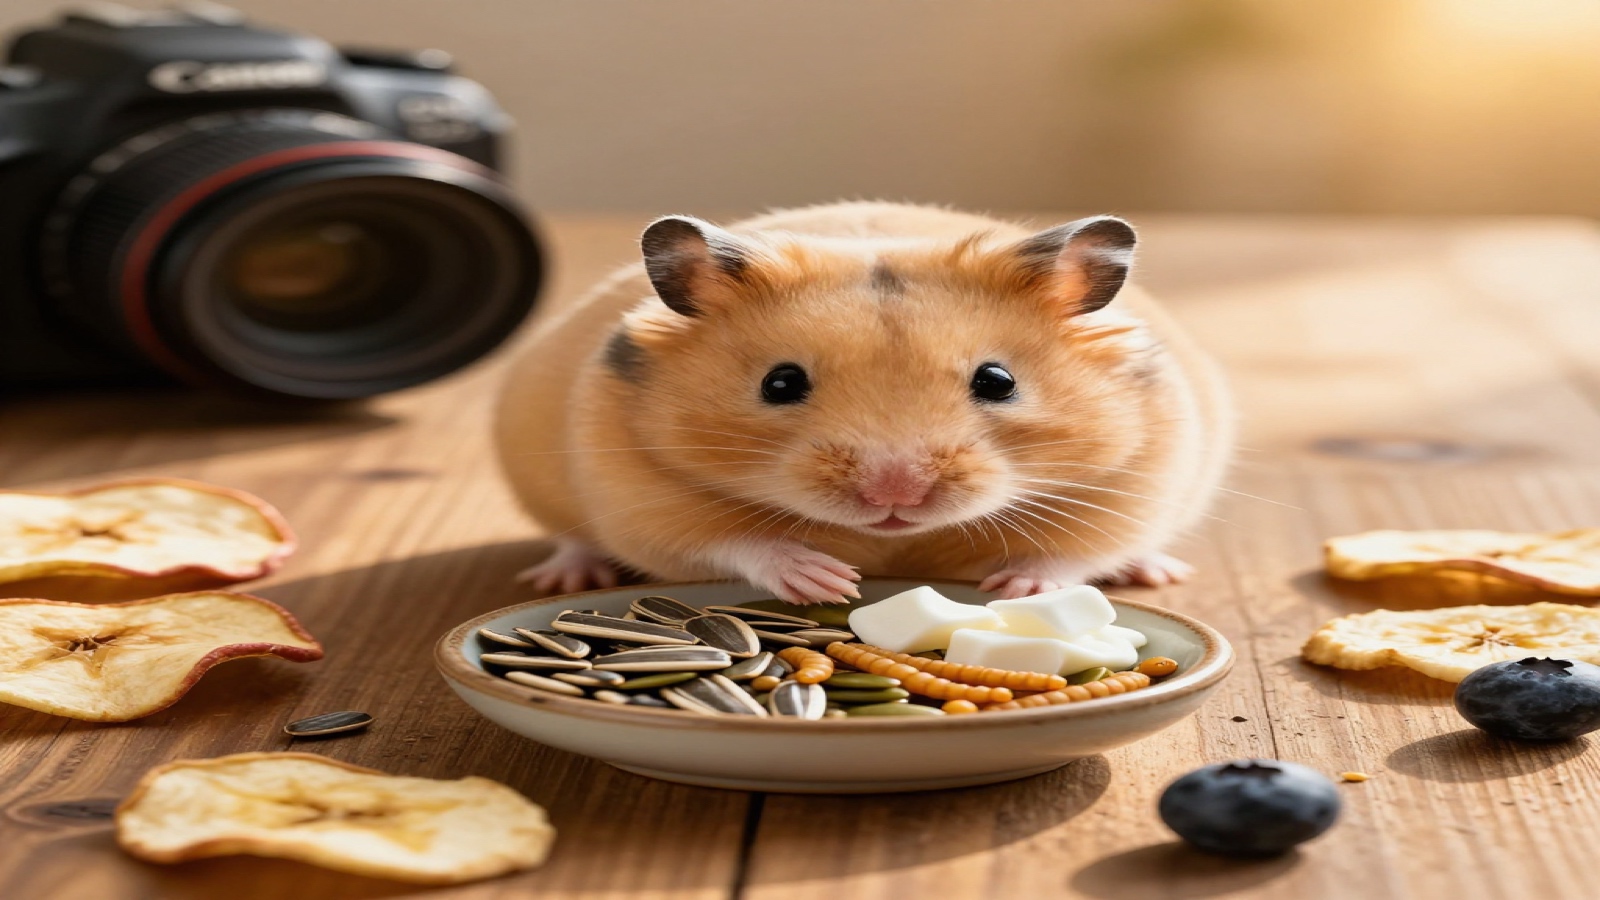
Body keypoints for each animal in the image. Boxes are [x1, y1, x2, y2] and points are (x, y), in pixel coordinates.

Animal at [495, 202, 1232, 603]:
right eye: (780, 384)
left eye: (998, 381)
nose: (894, 493)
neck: (899, 542)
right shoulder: (641, 497)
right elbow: (730, 541)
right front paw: (828, 580)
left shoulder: (1136, 481)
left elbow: (1075, 553)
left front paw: (1013, 589)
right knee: (573, 538)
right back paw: (563, 578)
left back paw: (1156, 571)